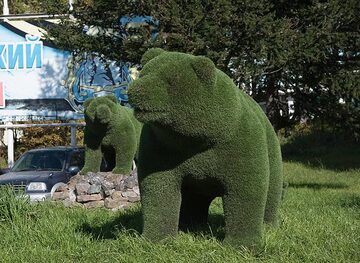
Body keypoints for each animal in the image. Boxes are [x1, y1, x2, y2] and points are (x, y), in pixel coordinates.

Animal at [128, 49, 282, 250]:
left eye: (168, 80)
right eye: (144, 73)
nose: (135, 90)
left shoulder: (238, 142)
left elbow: (246, 188)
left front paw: (241, 243)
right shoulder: (162, 147)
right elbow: (158, 188)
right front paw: (156, 238)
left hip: (271, 150)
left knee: (272, 190)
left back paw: (269, 225)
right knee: (193, 199)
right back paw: (190, 224)